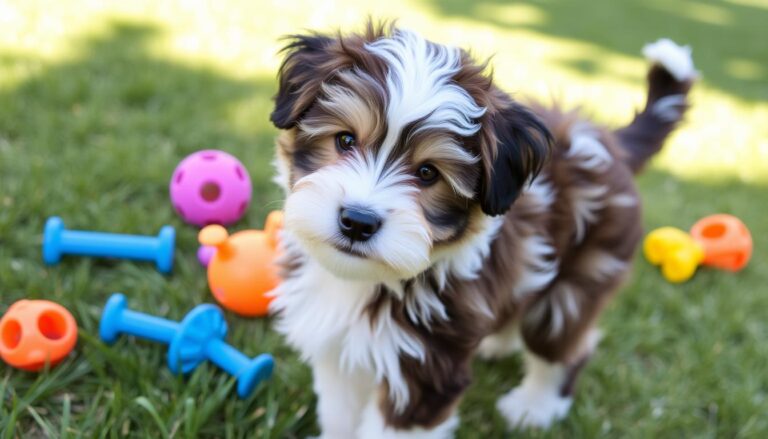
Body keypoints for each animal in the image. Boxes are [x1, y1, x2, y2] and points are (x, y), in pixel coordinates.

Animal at [268, 22, 700, 438]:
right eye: (344, 140)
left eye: (428, 173)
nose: (358, 221)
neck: (367, 280)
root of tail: (606, 139)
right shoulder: (338, 348)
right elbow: (339, 412)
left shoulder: (425, 364)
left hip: (581, 276)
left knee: (563, 343)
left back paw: (535, 406)